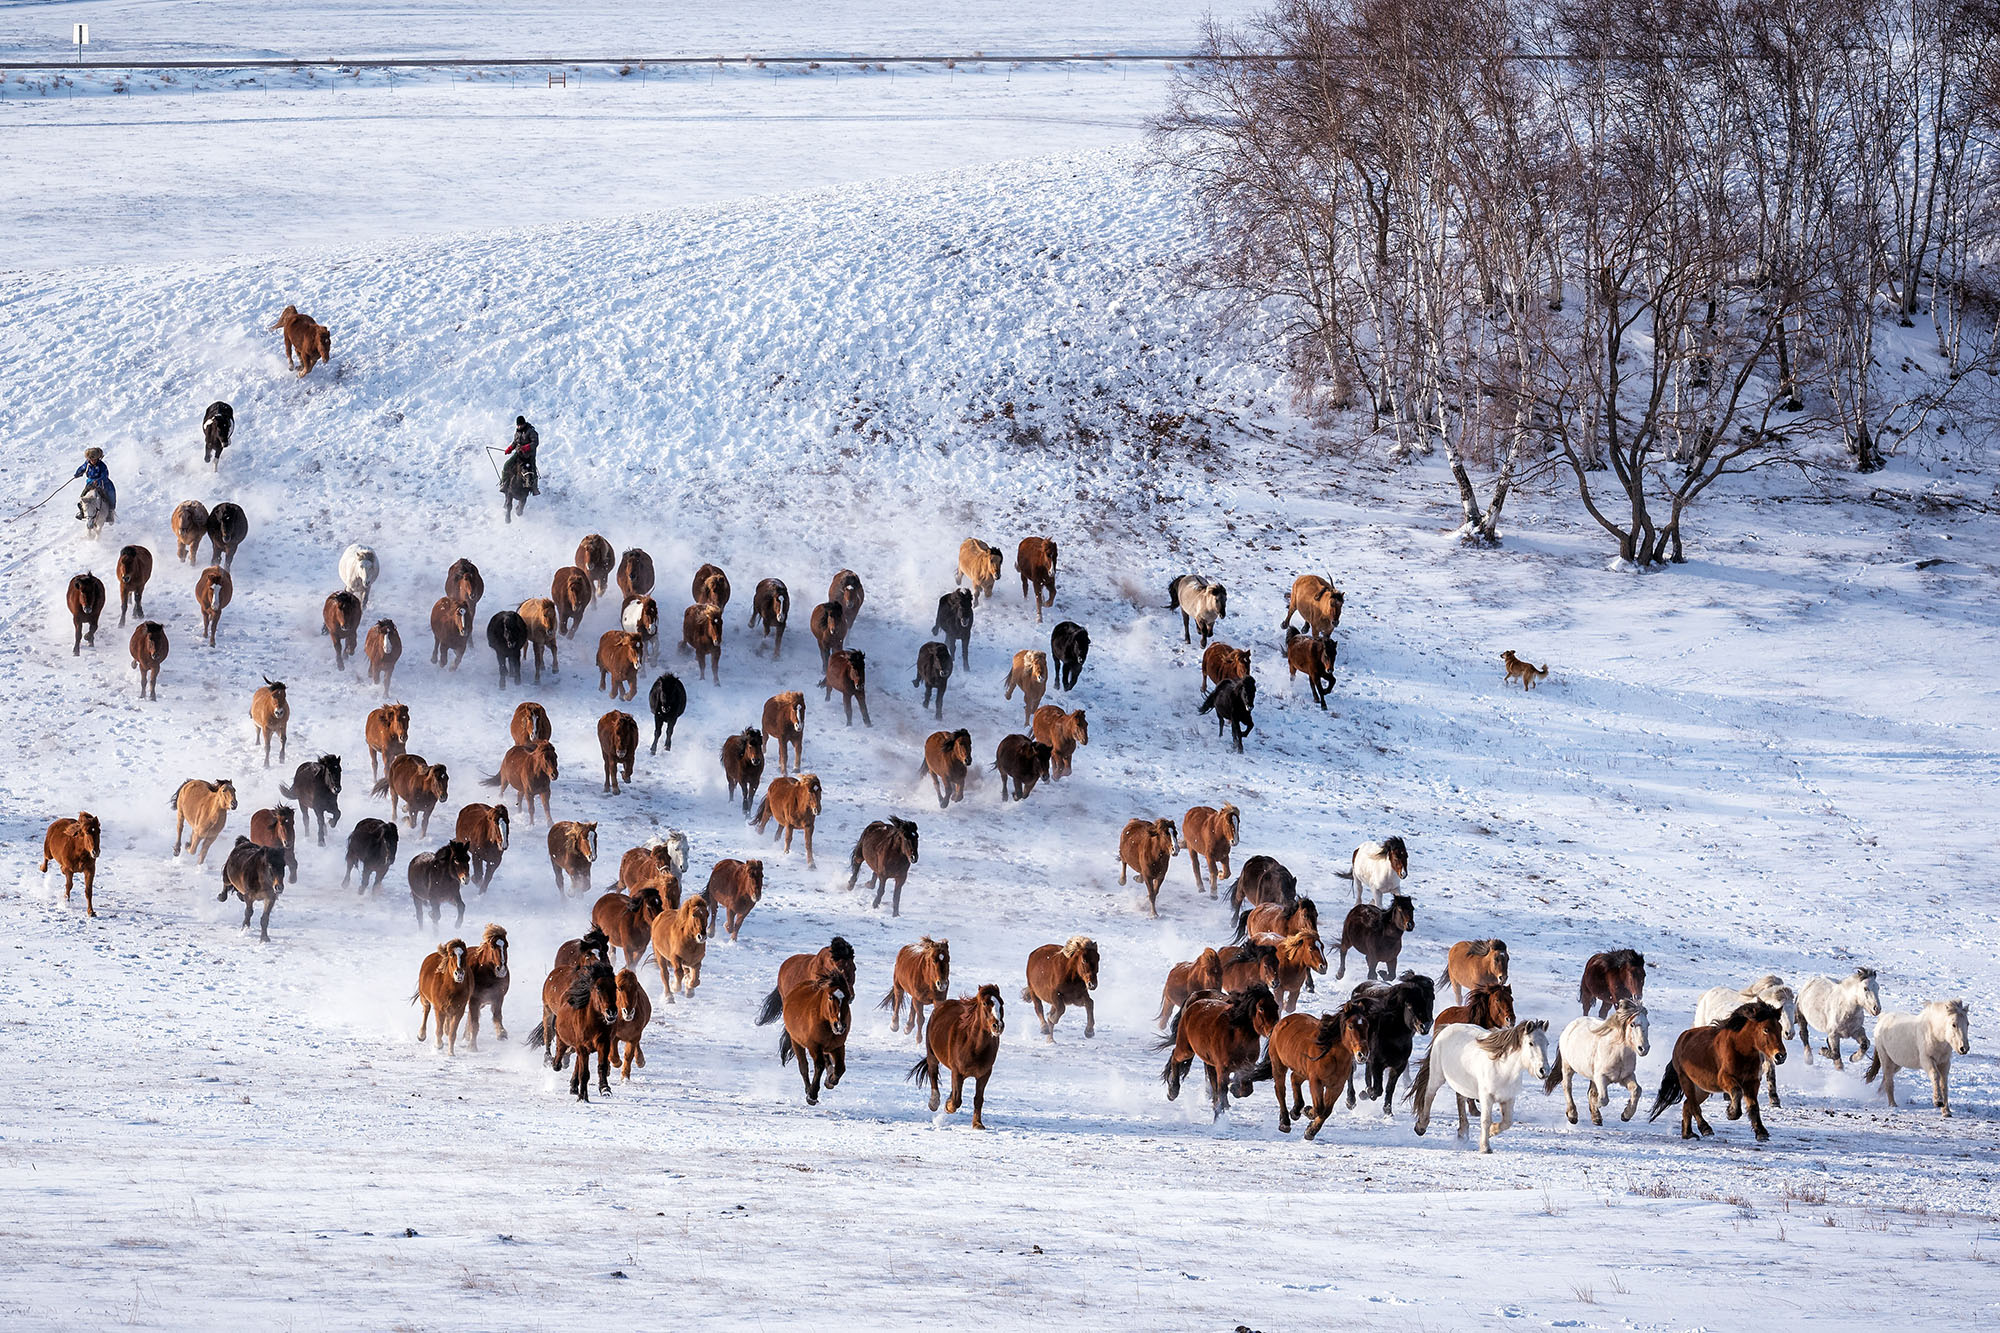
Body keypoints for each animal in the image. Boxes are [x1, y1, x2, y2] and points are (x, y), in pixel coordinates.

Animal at [776, 964, 848, 1096]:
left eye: (849, 996)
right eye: (830, 997)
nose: (839, 1026)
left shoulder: (837, 1046)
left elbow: (840, 1068)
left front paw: (830, 1081)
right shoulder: (813, 1046)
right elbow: (818, 1066)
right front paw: (812, 1094)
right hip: (796, 1042)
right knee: (803, 1066)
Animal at [908, 980, 1000, 1128]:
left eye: (1001, 1003)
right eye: (985, 1003)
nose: (998, 1026)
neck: (974, 1046)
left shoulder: (984, 1074)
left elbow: (978, 1099)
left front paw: (977, 1124)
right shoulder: (957, 1071)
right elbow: (957, 1100)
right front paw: (948, 1106)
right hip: (932, 1054)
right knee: (933, 1073)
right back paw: (934, 1103)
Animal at [1160, 980, 1280, 1112]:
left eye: (1277, 1007)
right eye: (1261, 1008)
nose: (1274, 1030)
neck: (1238, 1036)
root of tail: (1193, 1000)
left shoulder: (1246, 1066)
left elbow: (1246, 1089)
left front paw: (1234, 1089)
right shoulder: (1222, 1068)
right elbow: (1223, 1088)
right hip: (1187, 1050)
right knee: (1175, 1057)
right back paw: (1173, 1091)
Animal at [1408, 1020, 1560, 1144]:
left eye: (1547, 1043)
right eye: (1531, 1043)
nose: (1544, 1070)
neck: (1503, 1068)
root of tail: (1447, 1027)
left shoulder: (1509, 1098)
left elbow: (1507, 1122)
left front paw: (1492, 1131)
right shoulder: (1486, 1097)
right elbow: (1486, 1120)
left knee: (1460, 1099)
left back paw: (1463, 1132)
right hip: (1437, 1075)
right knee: (1430, 1095)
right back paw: (1421, 1127)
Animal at [1648, 1000, 1792, 1136]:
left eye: (1779, 1028)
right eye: (1766, 1029)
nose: (1781, 1056)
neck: (1741, 1050)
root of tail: (1681, 1039)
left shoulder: (1752, 1081)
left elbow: (1753, 1106)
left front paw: (1761, 1132)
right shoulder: (1724, 1078)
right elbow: (1737, 1091)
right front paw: (1732, 1113)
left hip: (1702, 1089)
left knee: (1687, 1104)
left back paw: (1688, 1134)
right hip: (1685, 1080)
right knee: (1693, 1105)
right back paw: (1705, 1128)